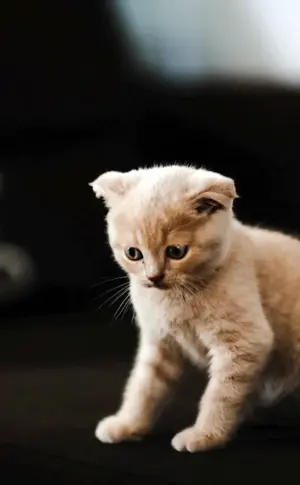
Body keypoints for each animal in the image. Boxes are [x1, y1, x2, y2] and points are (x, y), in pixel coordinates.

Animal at [90, 164, 300, 452]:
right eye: (133, 253)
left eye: (176, 251)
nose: (154, 277)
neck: (176, 299)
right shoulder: (160, 343)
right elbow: (143, 387)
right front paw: (127, 424)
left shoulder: (246, 342)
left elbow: (221, 396)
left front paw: (204, 436)